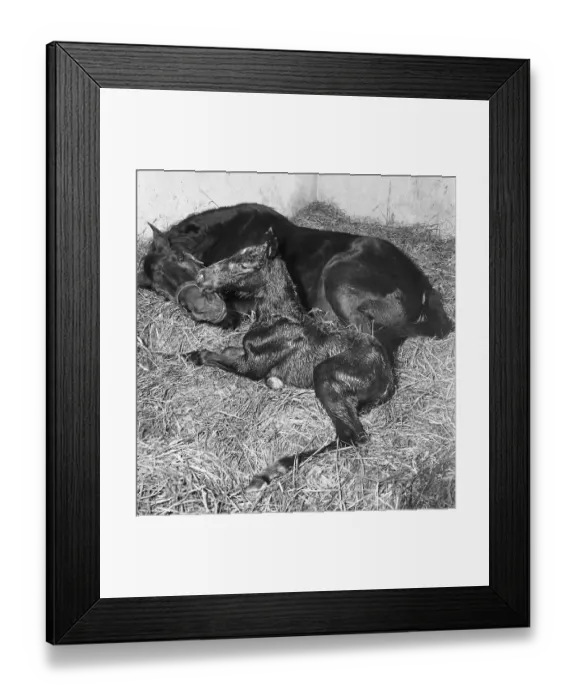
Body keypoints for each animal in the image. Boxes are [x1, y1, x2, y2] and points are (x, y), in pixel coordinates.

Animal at [187, 229, 396, 492]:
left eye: (245, 265)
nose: (200, 276)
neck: (275, 318)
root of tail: (387, 380)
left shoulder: (251, 367)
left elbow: (215, 357)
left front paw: (192, 355)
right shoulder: (248, 353)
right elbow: (226, 350)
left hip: (325, 374)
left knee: (352, 436)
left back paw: (269, 472)